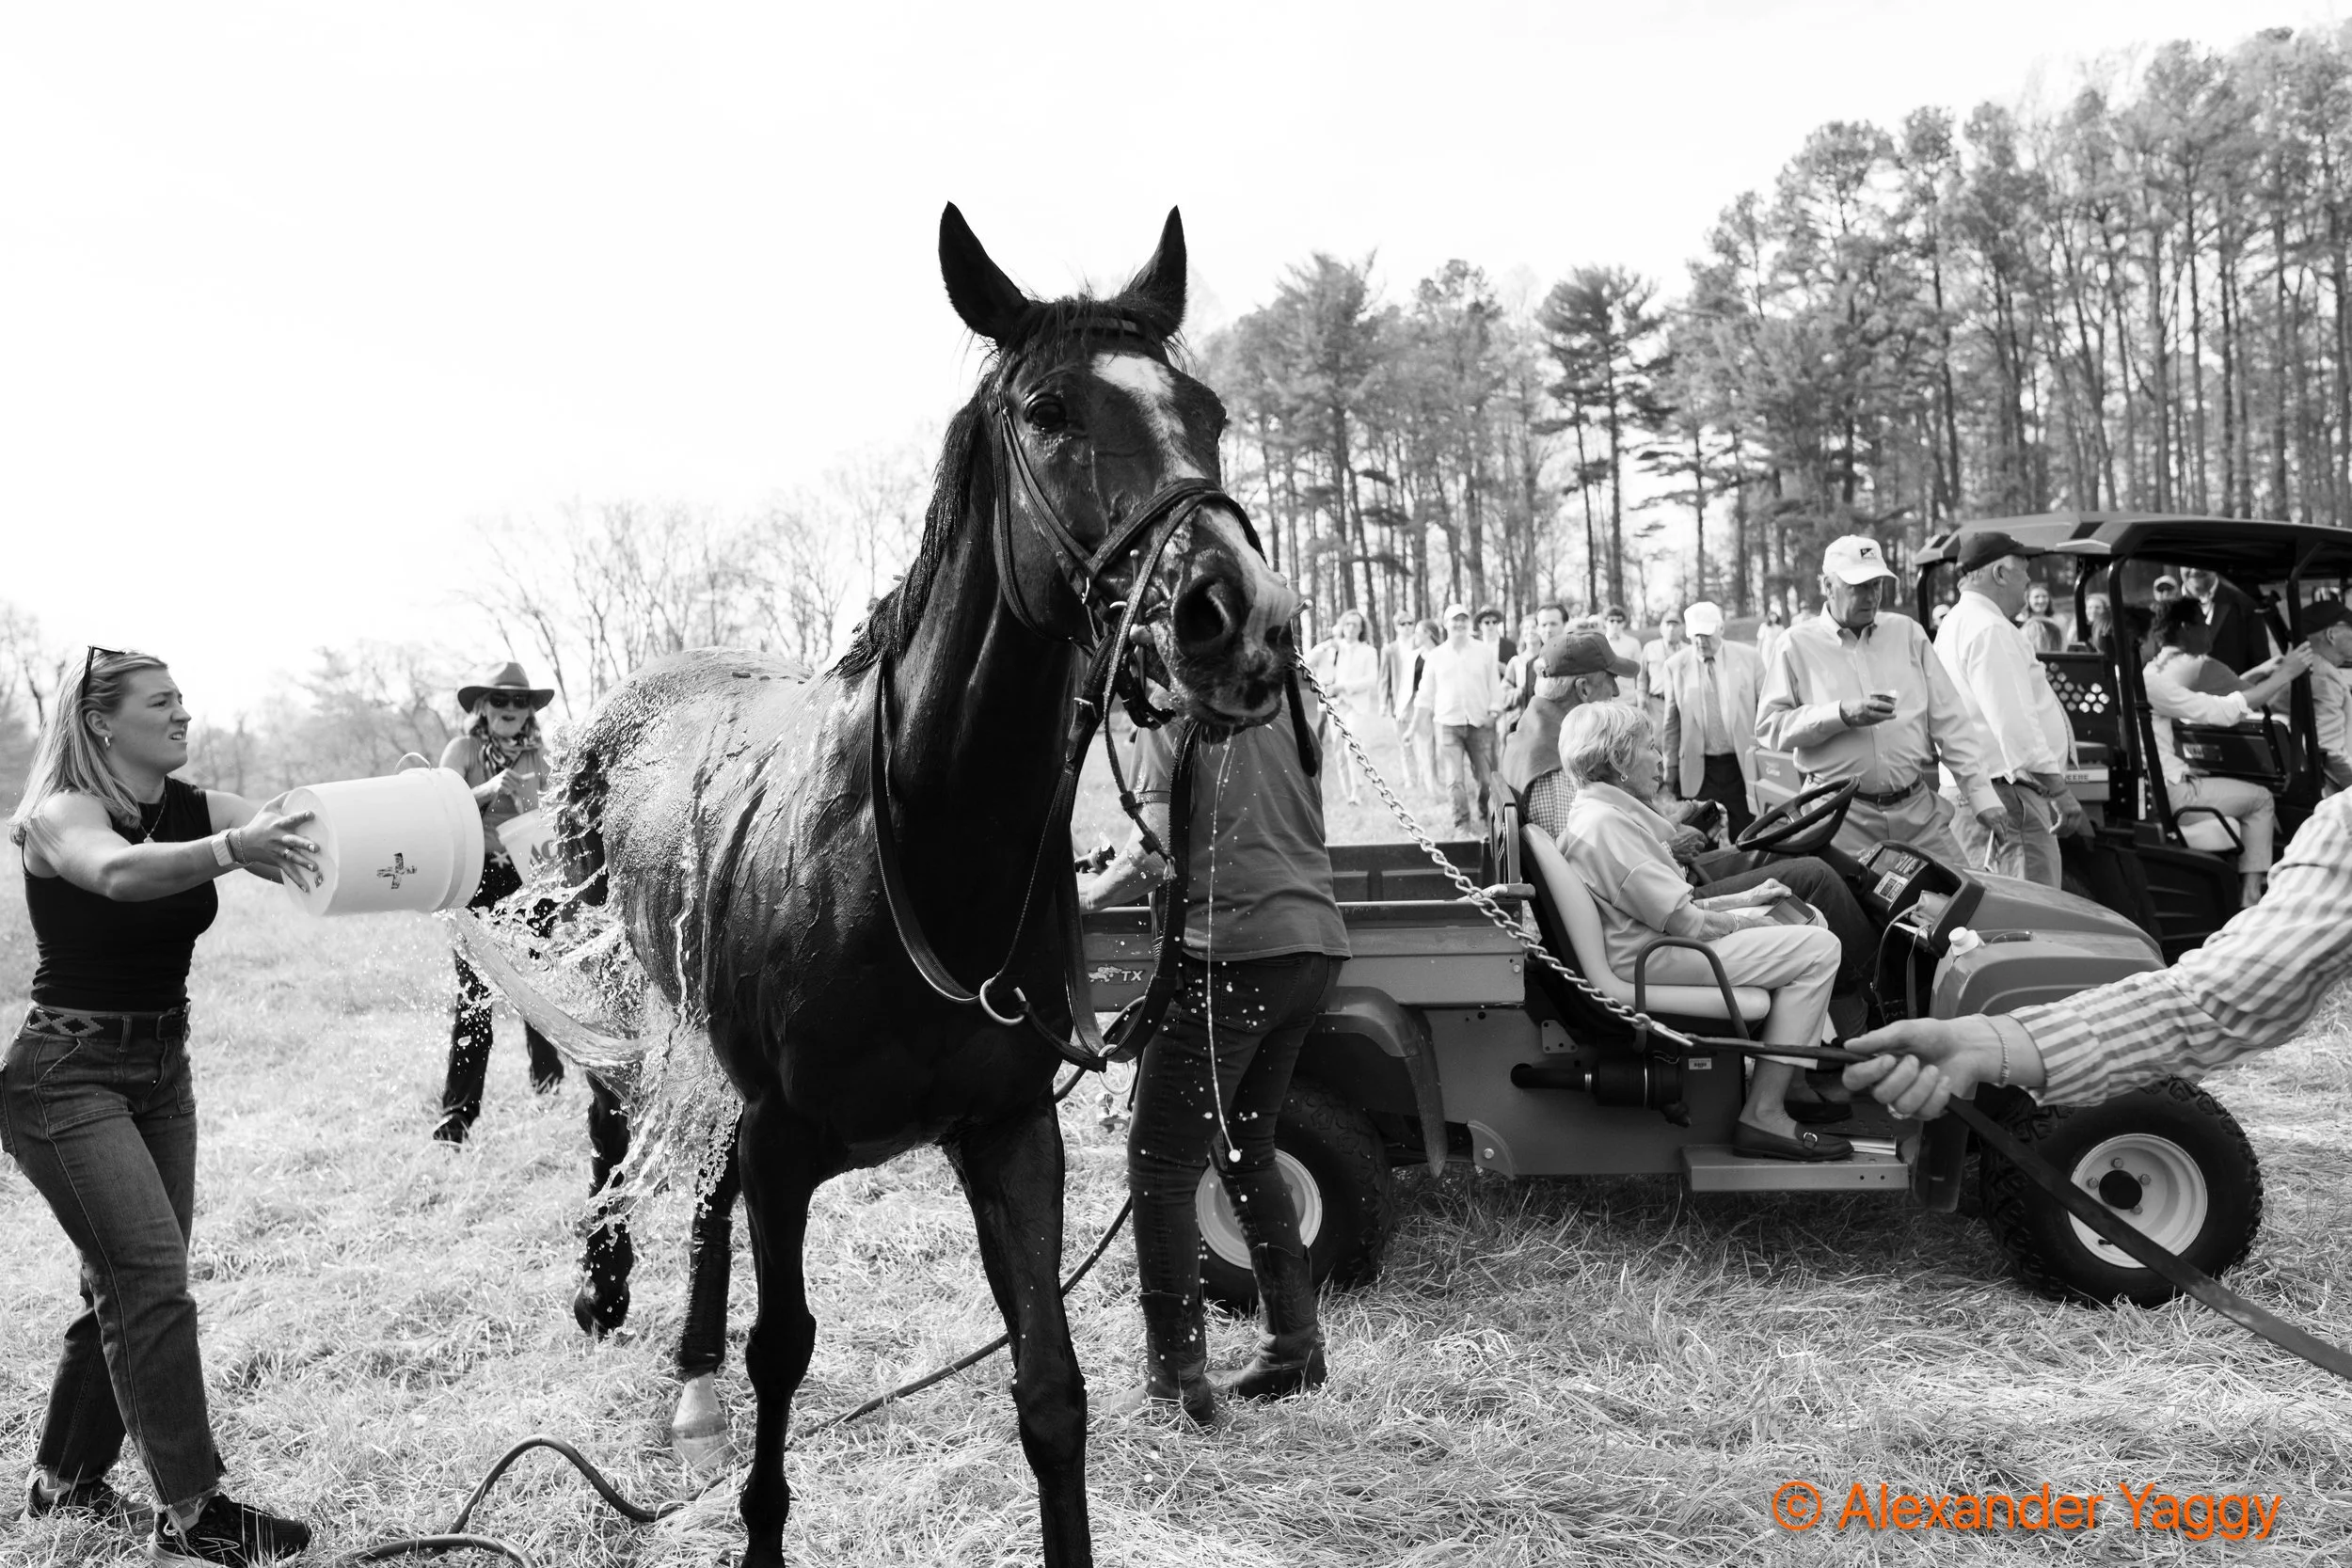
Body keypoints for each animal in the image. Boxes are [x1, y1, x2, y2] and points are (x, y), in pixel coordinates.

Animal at [552, 204, 1297, 1567]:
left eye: (1207, 410)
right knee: (611, 1117)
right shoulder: (787, 1143)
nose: (1243, 618)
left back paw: (690, 1371)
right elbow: (784, 1358)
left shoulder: (1008, 1132)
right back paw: (607, 1286)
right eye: (1050, 410)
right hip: (618, 977)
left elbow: (1051, 1390)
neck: (918, 850)